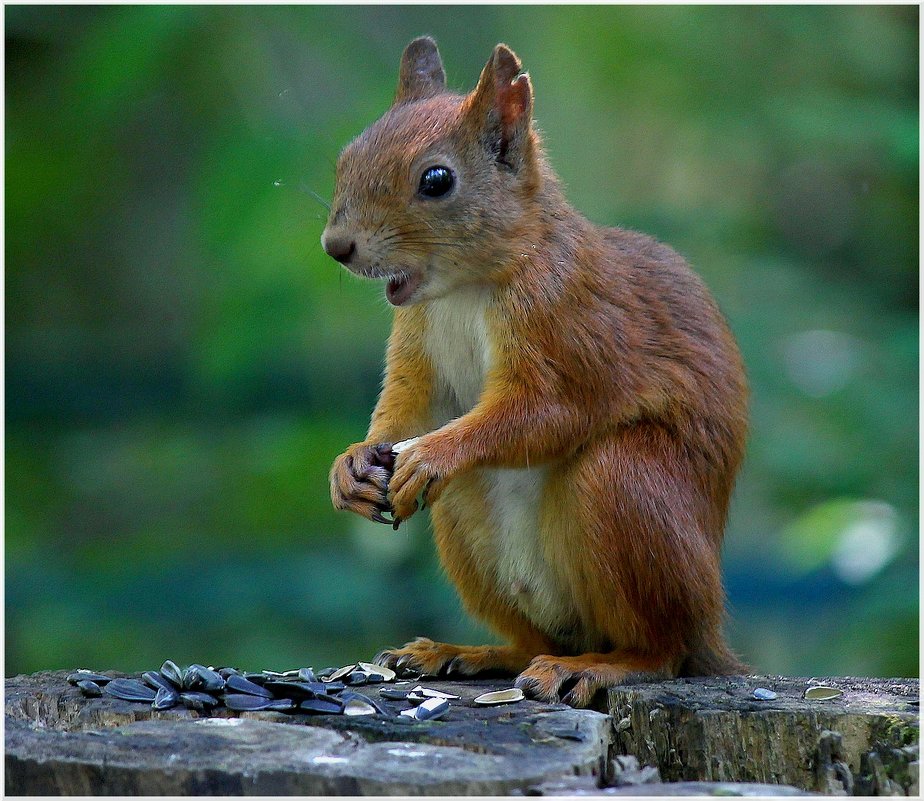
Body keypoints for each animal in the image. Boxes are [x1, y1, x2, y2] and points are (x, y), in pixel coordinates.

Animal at [322, 37, 748, 704]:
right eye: (347, 156)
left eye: (436, 180)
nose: (336, 246)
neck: (468, 288)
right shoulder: (417, 343)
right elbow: (409, 406)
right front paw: (353, 464)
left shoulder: (571, 324)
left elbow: (545, 411)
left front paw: (434, 453)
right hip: (466, 524)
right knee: (532, 641)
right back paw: (466, 652)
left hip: (629, 488)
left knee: (662, 649)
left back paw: (600, 666)